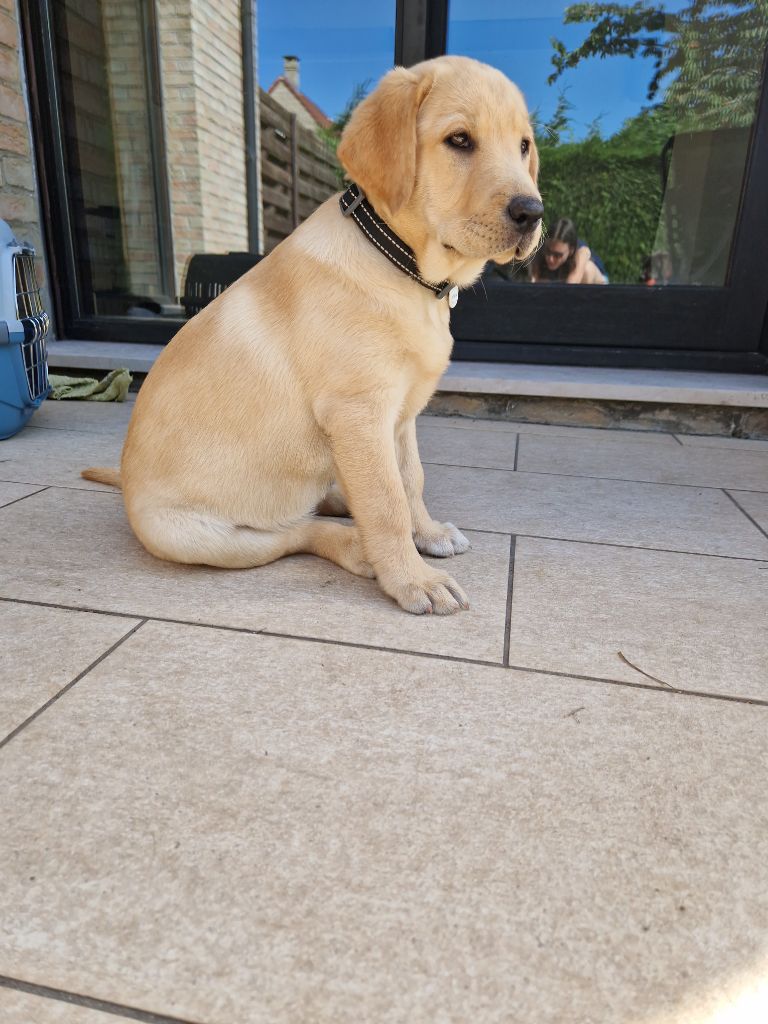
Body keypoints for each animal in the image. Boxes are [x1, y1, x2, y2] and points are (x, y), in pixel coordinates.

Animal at [82, 56, 540, 610]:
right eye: (459, 140)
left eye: (523, 145)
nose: (533, 213)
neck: (401, 264)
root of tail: (126, 487)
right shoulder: (359, 413)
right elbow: (386, 503)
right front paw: (413, 577)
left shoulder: (400, 415)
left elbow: (410, 479)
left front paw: (427, 533)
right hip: (199, 537)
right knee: (296, 532)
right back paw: (358, 548)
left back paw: (343, 502)